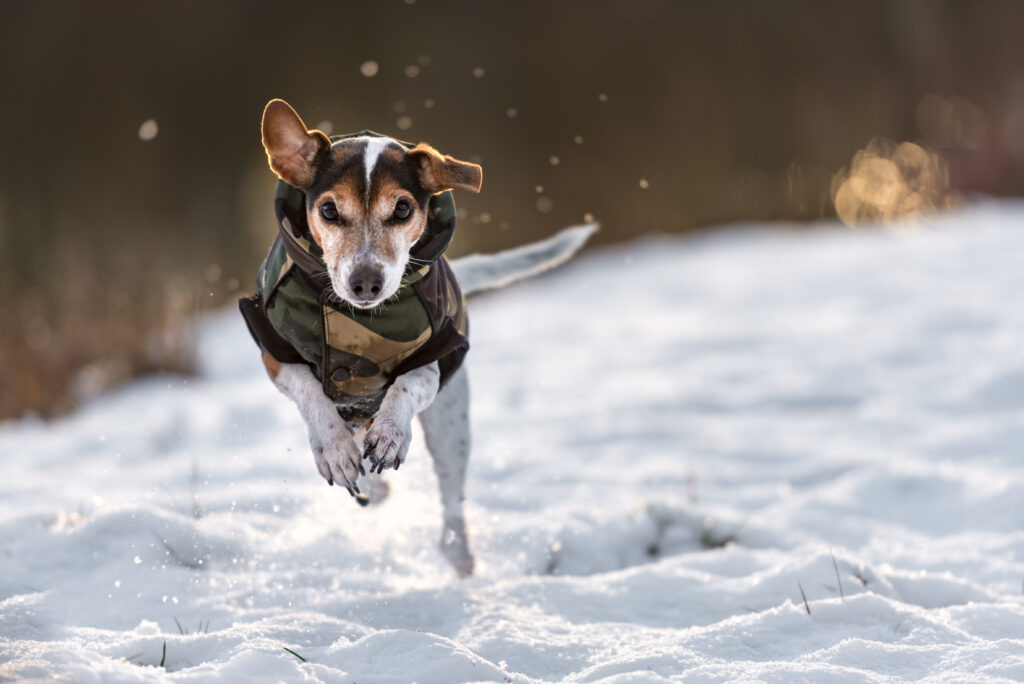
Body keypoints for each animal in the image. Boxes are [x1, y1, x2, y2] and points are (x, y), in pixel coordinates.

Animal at [240, 98, 593, 573]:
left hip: (450, 424)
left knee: (450, 497)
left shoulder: (439, 355)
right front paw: (333, 448)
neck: (360, 320)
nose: (366, 283)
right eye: (329, 211)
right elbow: (310, 392)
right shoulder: (275, 353)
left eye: (403, 210)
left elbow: (407, 384)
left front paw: (391, 432)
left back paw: (458, 553)